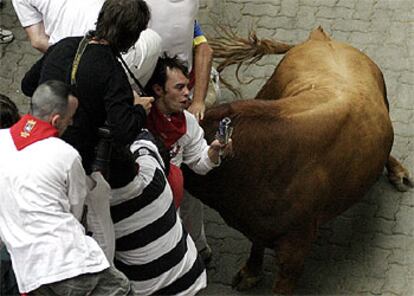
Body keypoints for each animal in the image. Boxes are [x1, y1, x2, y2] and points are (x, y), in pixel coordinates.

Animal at [183, 26, 412, 294]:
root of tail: (320, 38)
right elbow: (256, 244)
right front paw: (250, 272)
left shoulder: (295, 250)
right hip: (271, 89)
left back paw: (399, 173)